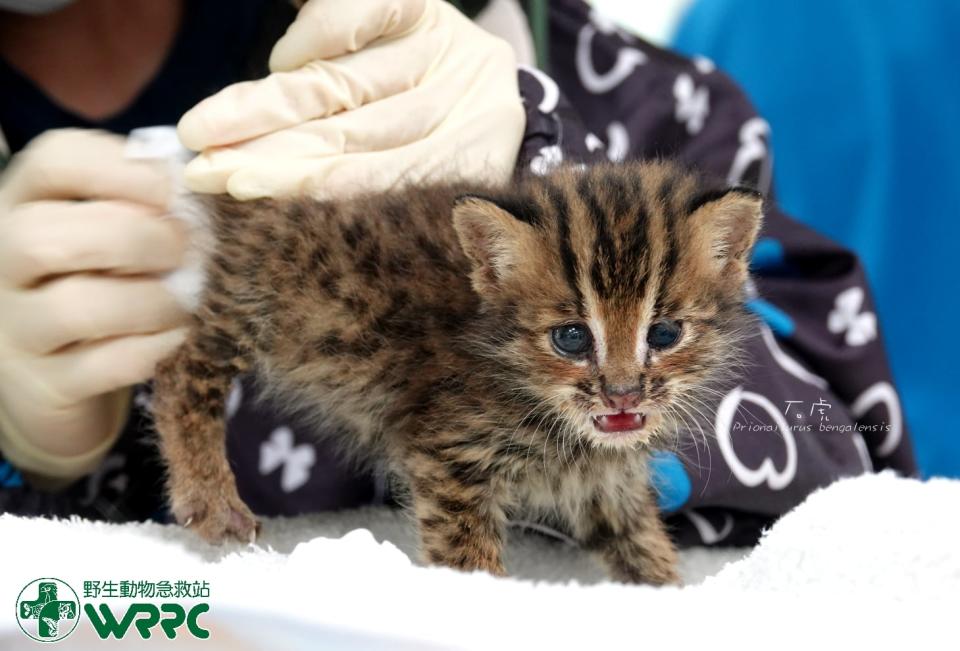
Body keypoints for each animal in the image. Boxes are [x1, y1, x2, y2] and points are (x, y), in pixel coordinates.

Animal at [152, 159, 764, 584]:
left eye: (664, 335)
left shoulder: (604, 485)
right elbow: (467, 558)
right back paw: (211, 499)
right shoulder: (449, 457)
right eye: (570, 338)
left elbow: (643, 545)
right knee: (178, 369)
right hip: (259, 305)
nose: (621, 394)